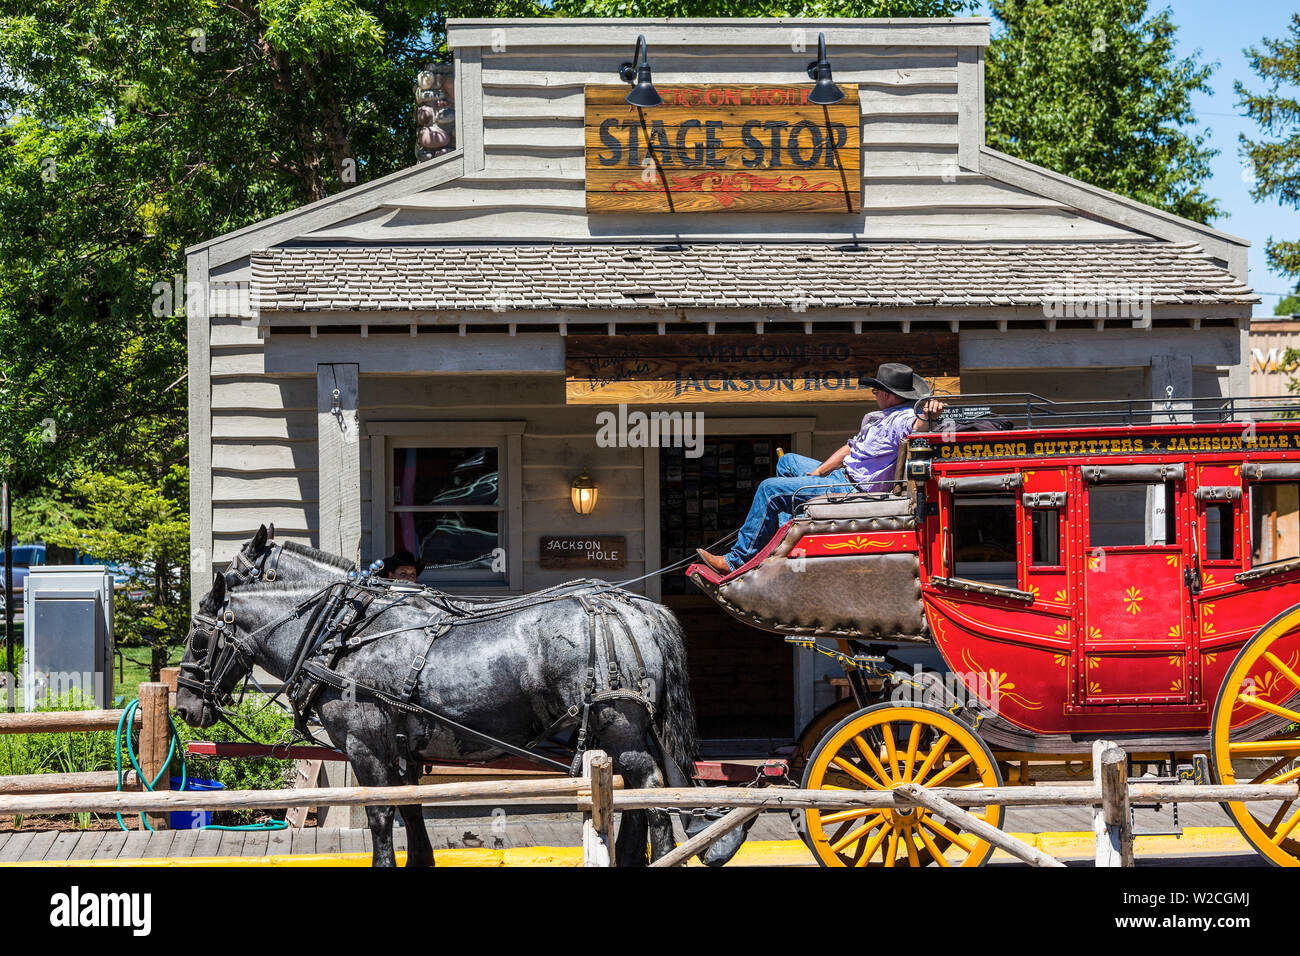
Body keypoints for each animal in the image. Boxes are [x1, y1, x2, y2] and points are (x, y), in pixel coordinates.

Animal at [172, 530, 743, 868]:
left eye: (198, 639)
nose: (184, 708)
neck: (344, 630)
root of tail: (632, 606)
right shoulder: (403, 749)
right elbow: (412, 812)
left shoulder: (366, 746)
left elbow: (381, 818)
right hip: (629, 728)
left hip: (619, 724)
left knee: (651, 793)